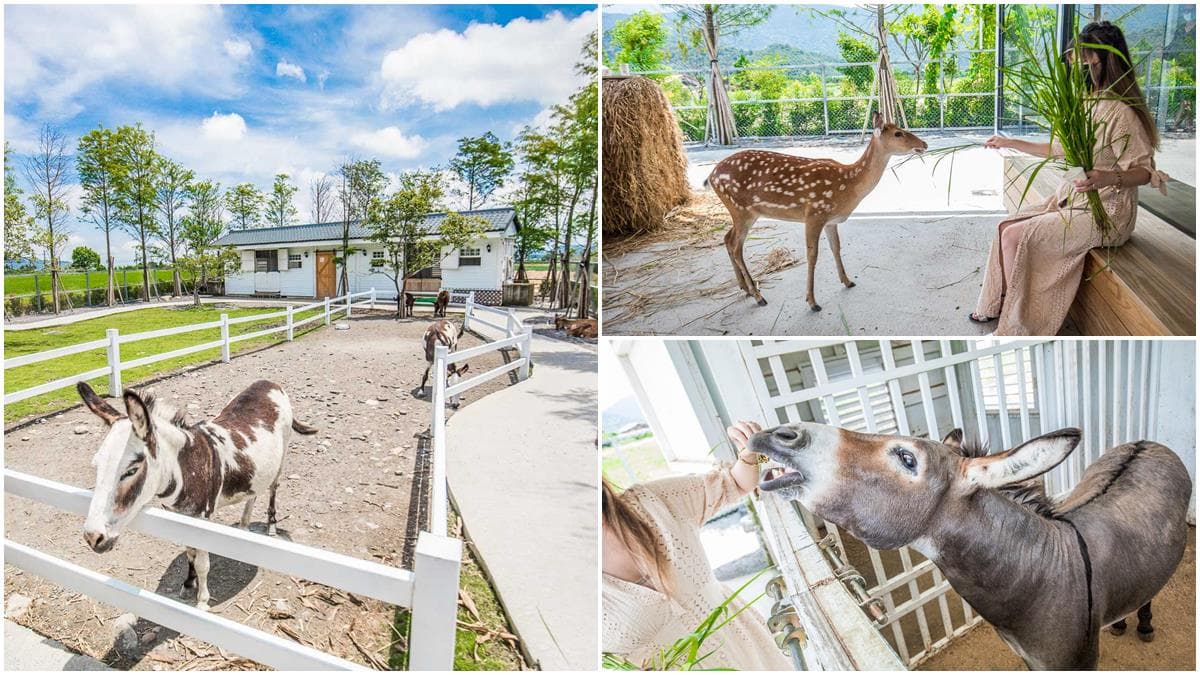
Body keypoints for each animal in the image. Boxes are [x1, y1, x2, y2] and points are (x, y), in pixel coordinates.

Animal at [76, 380, 318, 610]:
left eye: (131, 470)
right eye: (96, 466)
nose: (92, 537)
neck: (186, 467)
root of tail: (269, 383)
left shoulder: (202, 519)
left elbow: (203, 562)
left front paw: (202, 600)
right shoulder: (181, 517)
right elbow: (190, 552)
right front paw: (188, 583)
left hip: (281, 458)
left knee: (273, 489)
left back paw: (271, 526)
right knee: (253, 494)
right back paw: (243, 526)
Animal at [706, 112, 928, 311]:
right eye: (898, 133)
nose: (924, 144)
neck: (848, 184)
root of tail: (711, 176)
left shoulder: (831, 220)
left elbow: (836, 247)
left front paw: (847, 281)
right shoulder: (815, 213)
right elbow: (813, 255)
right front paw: (812, 302)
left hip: (743, 212)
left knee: (727, 239)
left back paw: (745, 288)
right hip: (741, 209)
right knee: (736, 247)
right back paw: (758, 296)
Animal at [749, 422, 1191, 669]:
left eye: (907, 459)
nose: (778, 433)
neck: (1042, 574)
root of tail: (1147, 441)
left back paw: (1143, 625)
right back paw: (1120, 622)